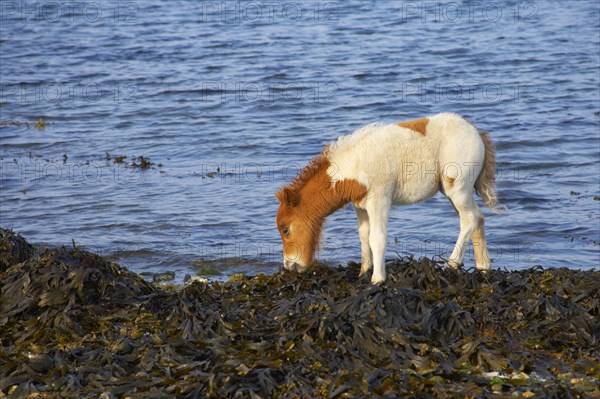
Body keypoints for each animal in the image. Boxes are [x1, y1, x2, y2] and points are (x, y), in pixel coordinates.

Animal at [276, 112, 502, 284]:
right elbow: (363, 236)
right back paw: (483, 267)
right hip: (452, 192)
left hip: (457, 189)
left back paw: (453, 263)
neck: (355, 167)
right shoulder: (360, 206)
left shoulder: (380, 200)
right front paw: (363, 272)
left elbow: (377, 238)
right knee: (477, 218)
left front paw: (377, 279)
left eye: (285, 229)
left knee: (470, 219)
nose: (289, 265)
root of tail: (477, 133)